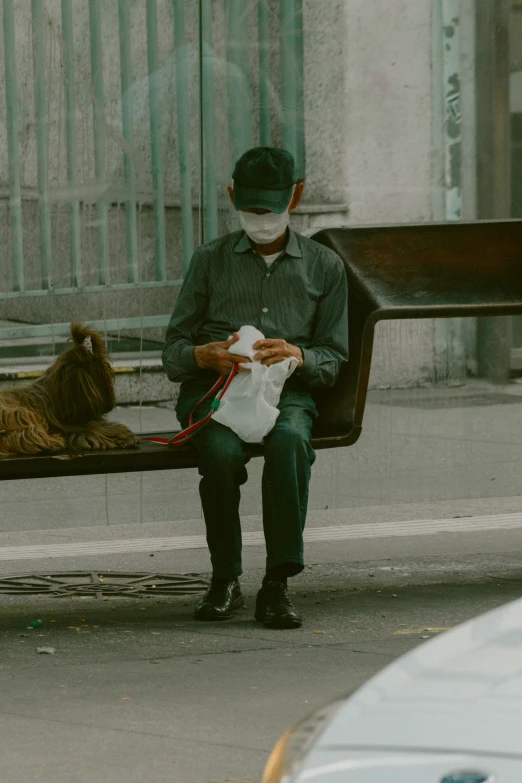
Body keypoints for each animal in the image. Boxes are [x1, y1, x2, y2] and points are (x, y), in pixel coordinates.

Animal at [0, 324, 138, 456]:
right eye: (101, 378)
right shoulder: (72, 426)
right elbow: (95, 428)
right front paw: (123, 435)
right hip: (19, 413)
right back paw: (52, 442)